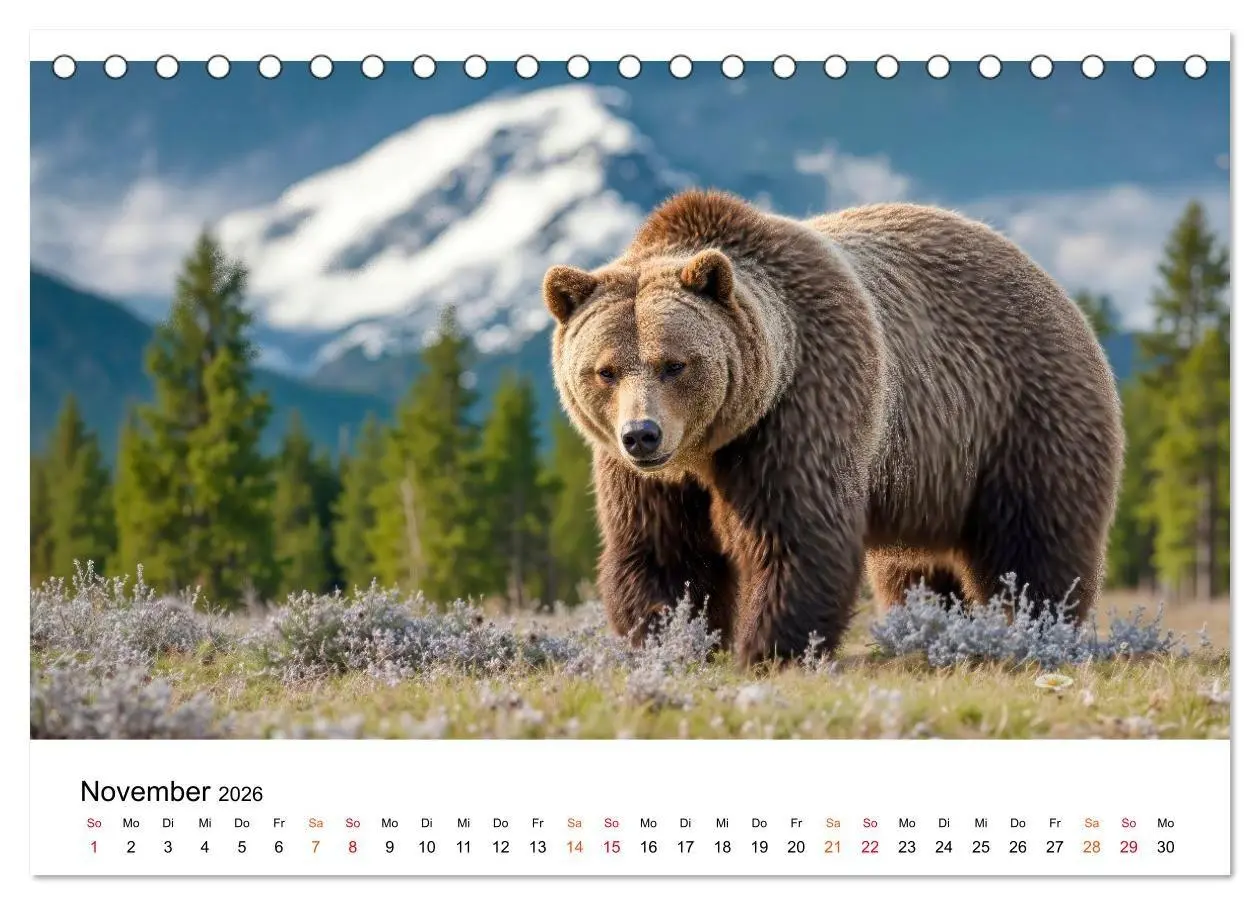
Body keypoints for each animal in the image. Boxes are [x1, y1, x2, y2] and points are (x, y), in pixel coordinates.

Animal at [543, 189, 1124, 666]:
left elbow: (795, 534)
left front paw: (768, 649)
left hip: (1020, 413)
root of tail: (1054, 287)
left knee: (1034, 542)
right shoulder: (648, 479)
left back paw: (1034, 629)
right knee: (916, 570)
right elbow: (663, 553)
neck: (709, 447)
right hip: (932, 477)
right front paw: (672, 641)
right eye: (606, 370)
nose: (642, 434)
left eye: (674, 364)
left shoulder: (804, 403)